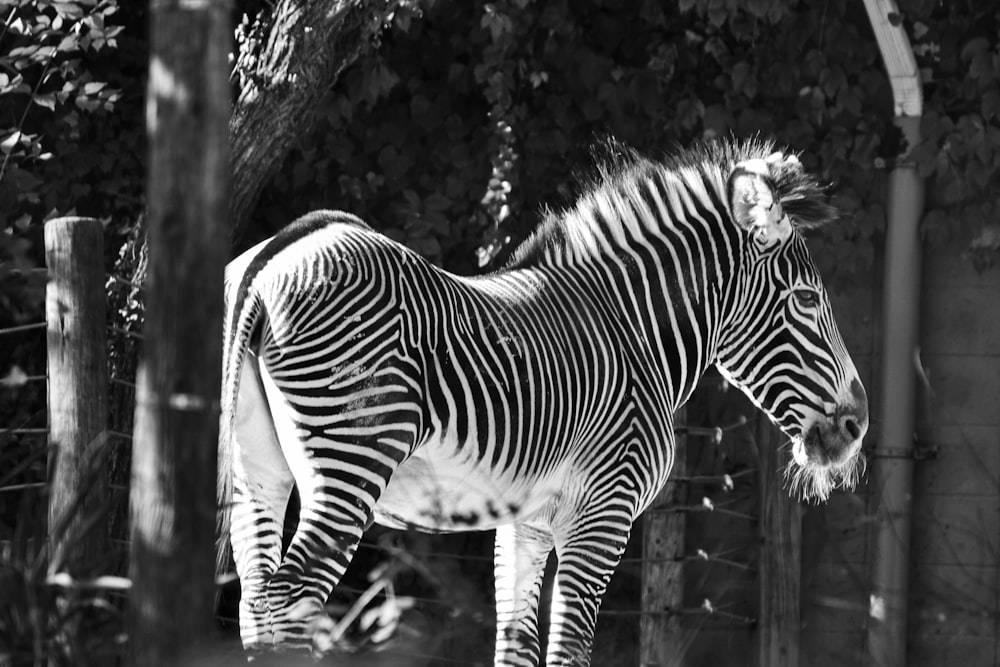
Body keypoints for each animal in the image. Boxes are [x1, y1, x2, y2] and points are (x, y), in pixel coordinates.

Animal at [217, 138, 868, 664]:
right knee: (291, 599)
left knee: (256, 604)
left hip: (259, 471)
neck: (631, 330)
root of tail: (278, 251)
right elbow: (568, 651)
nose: (857, 425)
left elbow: (517, 648)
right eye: (807, 299)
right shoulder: (602, 513)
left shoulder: (522, 525)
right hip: (350, 459)